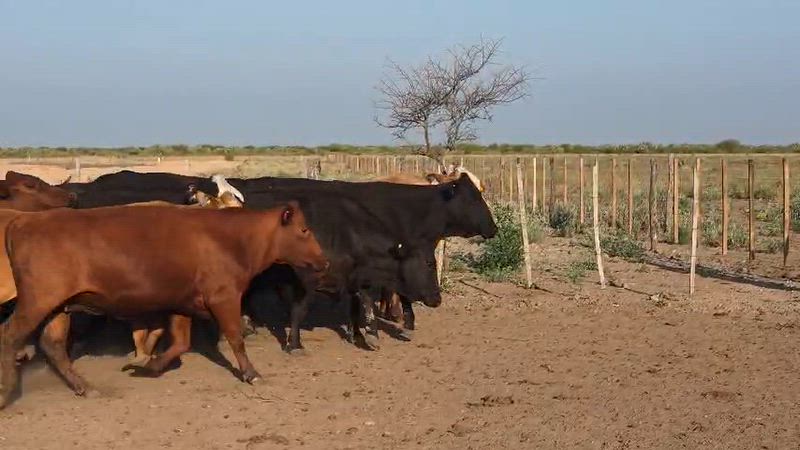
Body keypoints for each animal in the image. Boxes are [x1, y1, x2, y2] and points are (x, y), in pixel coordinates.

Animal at [0, 202, 328, 408]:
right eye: (304, 231)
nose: (324, 262)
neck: (232, 238)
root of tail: (25, 220)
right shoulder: (223, 297)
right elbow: (235, 337)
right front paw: (252, 373)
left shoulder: (181, 303)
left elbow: (180, 343)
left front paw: (148, 366)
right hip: (37, 301)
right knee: (10, 337)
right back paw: (6, 392)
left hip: (58, 307)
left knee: (53, 346)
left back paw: (86, 388)